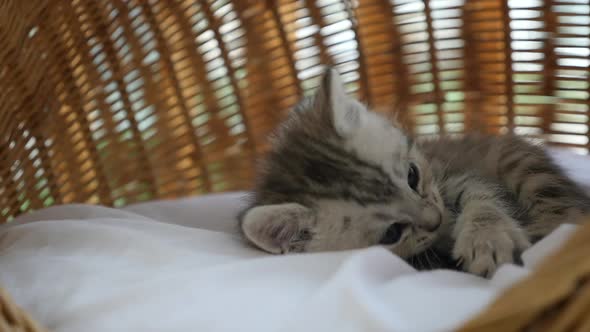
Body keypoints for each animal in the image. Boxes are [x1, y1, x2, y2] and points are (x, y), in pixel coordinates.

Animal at [237, 68, 590, 278]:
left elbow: (482, 196)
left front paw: (487, 237)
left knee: (562, 212)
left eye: (412, 175)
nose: (437, 219)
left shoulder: (450, 176)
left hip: (525, 166)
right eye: (391, 233)